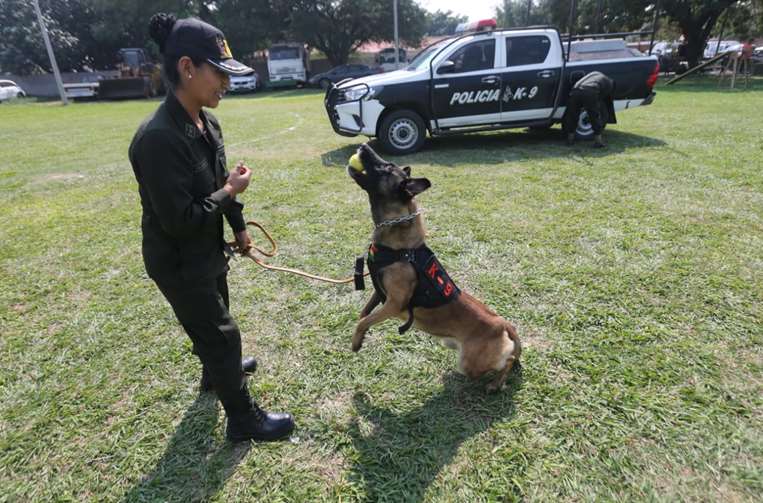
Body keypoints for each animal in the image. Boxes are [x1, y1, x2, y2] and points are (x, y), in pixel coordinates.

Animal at [350, 144, 524, 392]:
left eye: (386, 167)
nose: (364, 146)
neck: (401, 246)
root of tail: (502, 323)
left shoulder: (394, 304)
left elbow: (364, 320)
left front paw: (356, 341)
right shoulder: (379, 292)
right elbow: (364, 314)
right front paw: (360, 337)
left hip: (470, 363)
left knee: (508, 360)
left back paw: (496, 383)